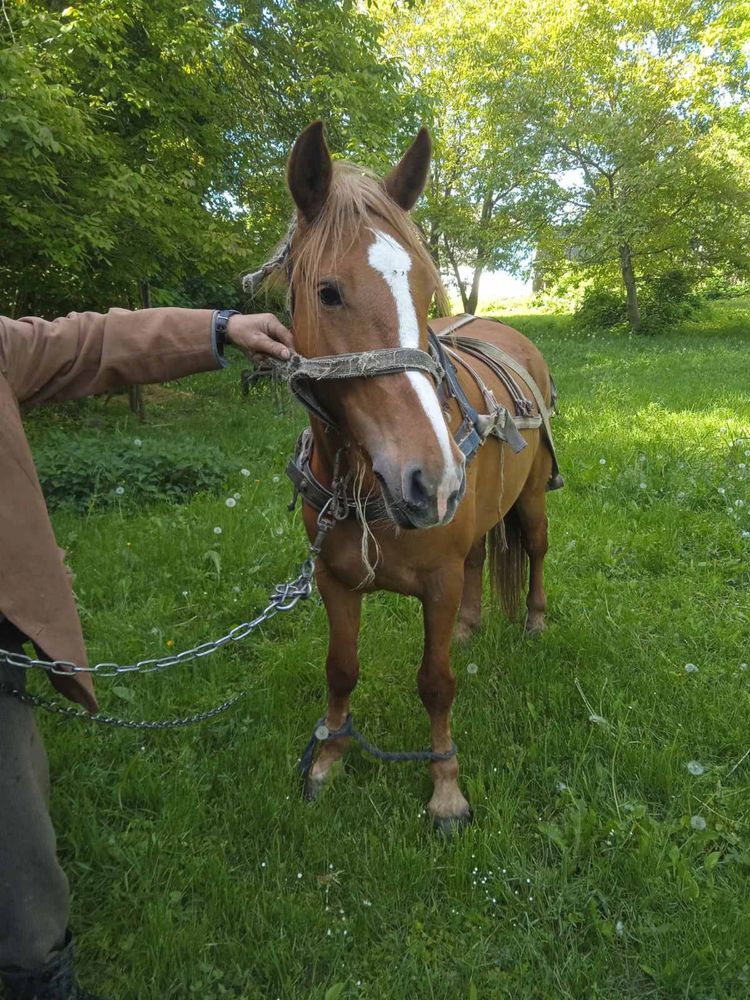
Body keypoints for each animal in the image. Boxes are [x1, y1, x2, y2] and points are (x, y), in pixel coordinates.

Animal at [250, 121, 560, 832]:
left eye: (424, 292)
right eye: (327, 291)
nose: (432, 480)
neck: (361, 485)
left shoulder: (437, 584)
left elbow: (436, 683)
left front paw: (446, 787)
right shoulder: (334, 580)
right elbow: (340, 669)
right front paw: (329, 758)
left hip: (531, 499)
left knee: (533, 548)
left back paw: (532, 621)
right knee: (480, 560)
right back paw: (472, 625)